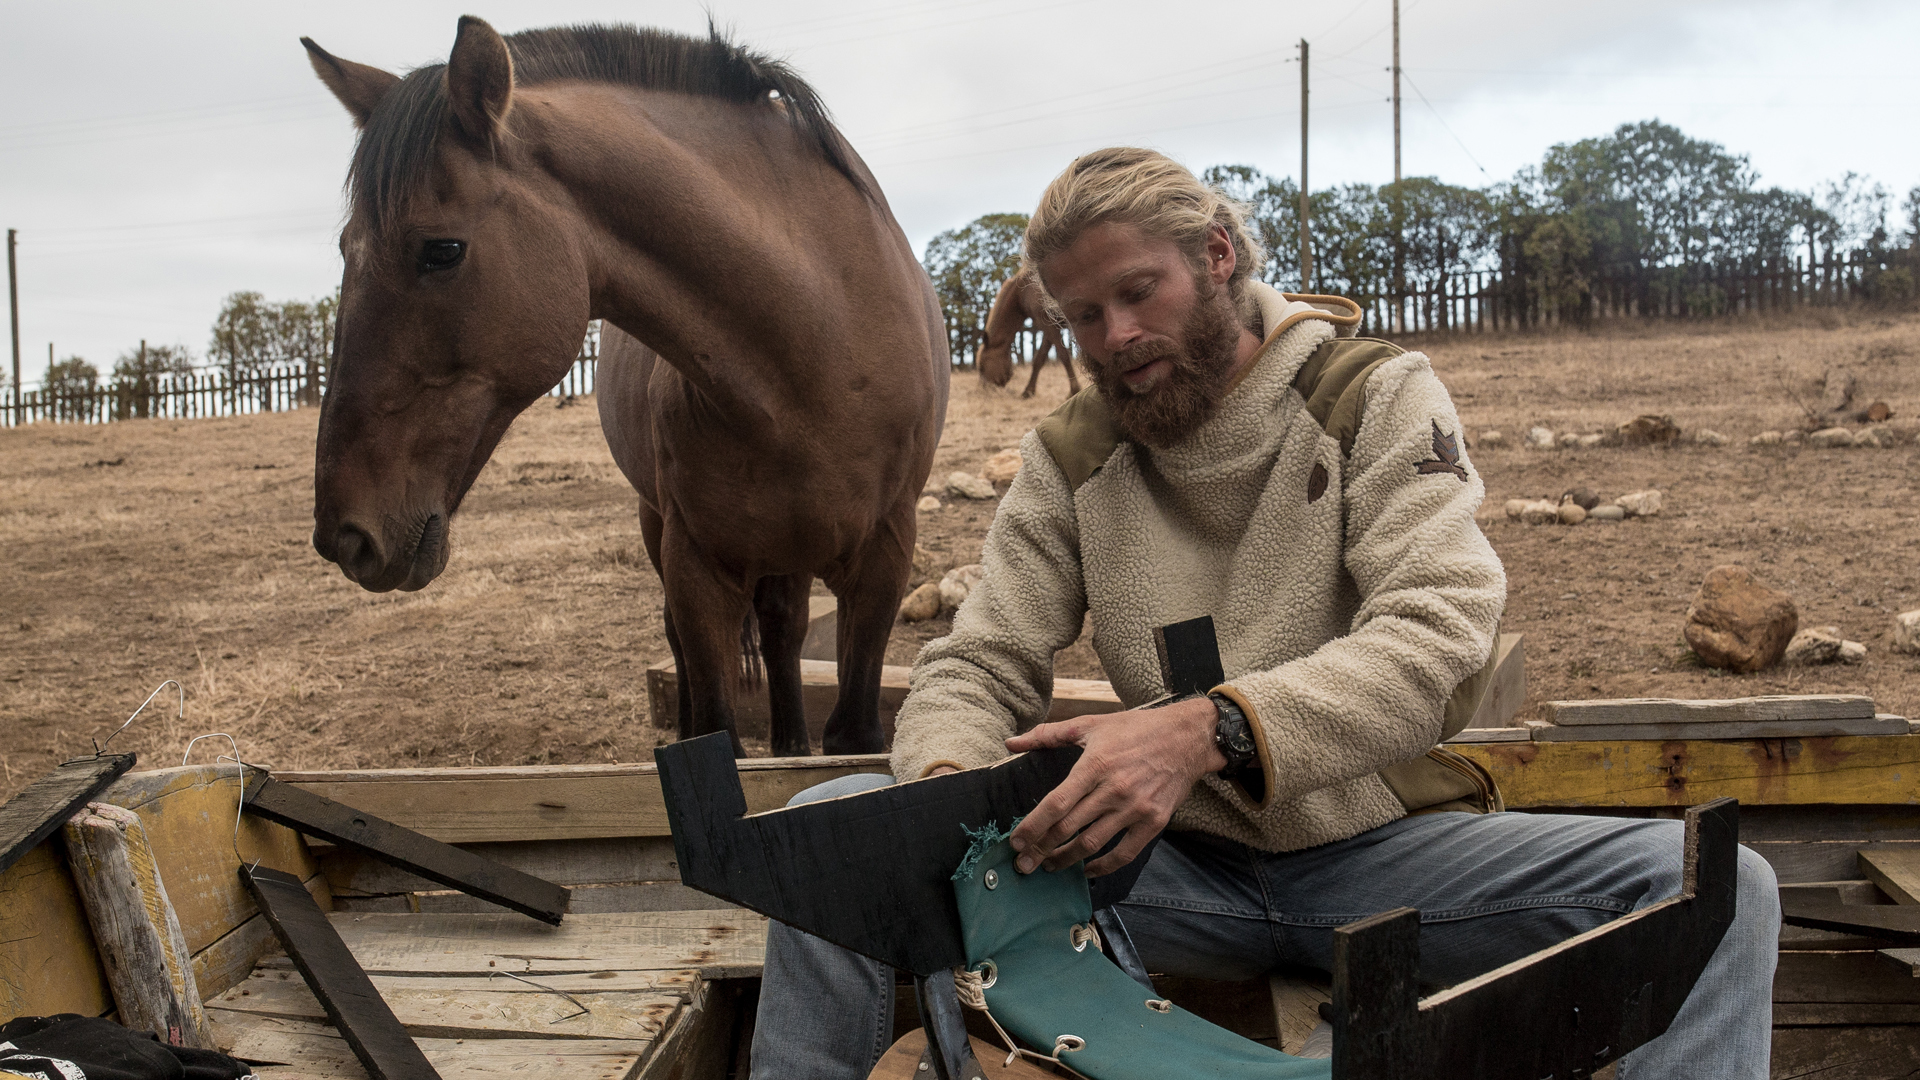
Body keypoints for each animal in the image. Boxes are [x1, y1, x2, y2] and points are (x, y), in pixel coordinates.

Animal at [303, 18, 948, 757]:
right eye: (347, 248)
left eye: (441, 251)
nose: (346, 537)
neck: (819, 340)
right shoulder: (694, 562)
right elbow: (715, 723)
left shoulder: (885, 558)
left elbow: (853, 730)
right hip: (662, 526)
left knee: (782, 633)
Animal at [977, 266, 1080, 398]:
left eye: (981, 366)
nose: (982, 390)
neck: (1024, 289)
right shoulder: (1050, 327)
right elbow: (1039, 359)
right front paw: (1029, 391)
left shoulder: (1048, 324)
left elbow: (1063, 355)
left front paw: (1074, 390)